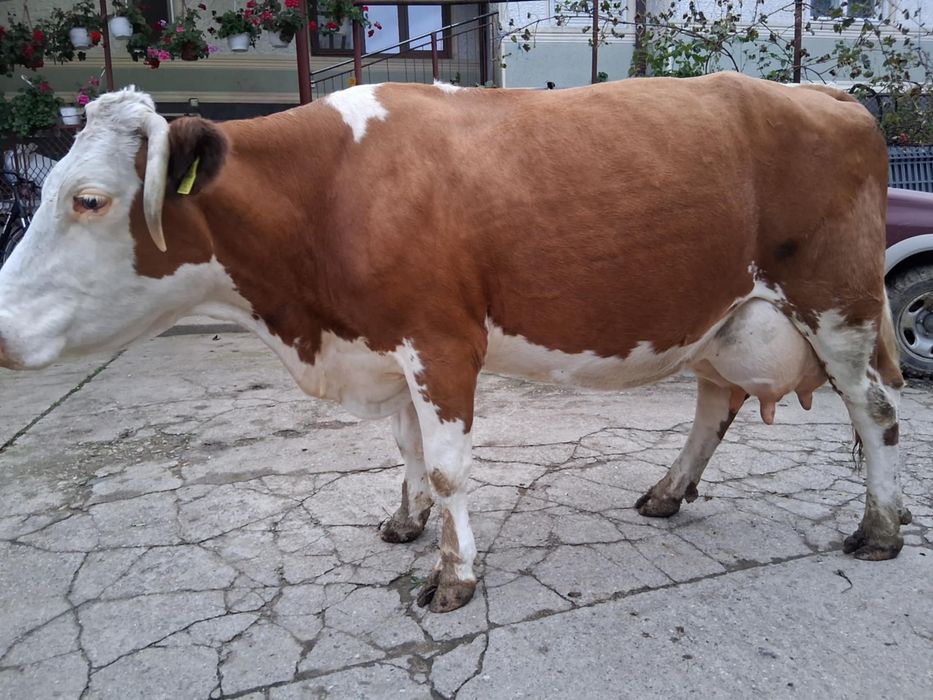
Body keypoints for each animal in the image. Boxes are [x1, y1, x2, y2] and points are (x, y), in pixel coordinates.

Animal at [0, 73, 911, 613]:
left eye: (88, 199)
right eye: (46, 190)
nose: (0, 328)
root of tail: (824, 92)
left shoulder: (440, 341)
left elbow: (445, 466)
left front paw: (454, 575)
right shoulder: (385, 344)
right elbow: (406, 449)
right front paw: (407, 523)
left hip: (835, 305)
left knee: (875, 412)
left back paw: (880, 528)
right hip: (724, 313)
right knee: (715, 398)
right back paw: (666, 491)